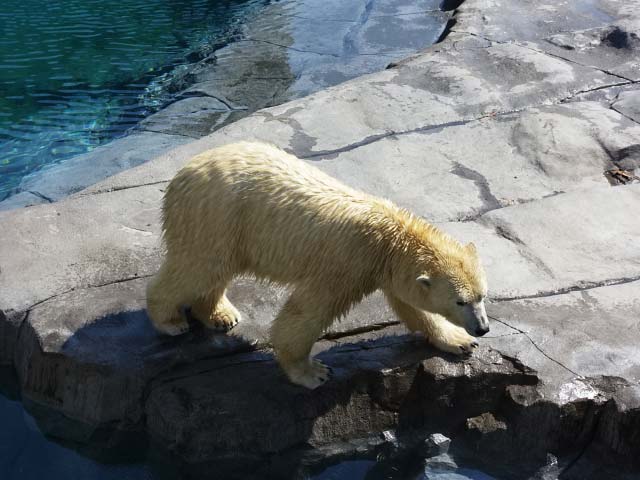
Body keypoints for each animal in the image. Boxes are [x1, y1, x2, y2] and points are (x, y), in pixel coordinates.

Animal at [146, 141, 490, 388]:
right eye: (460, 301)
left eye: (482, 295)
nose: (483, 328)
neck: (389, 237)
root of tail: (181, 174)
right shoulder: (347, 262)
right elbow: (306, 313)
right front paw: (313, 372)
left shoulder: (386, 267)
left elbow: (410, 306)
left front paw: (459, 342)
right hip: (214, 216)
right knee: (197, 267)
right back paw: (169, 320)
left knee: (214, 271)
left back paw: (221, 315)